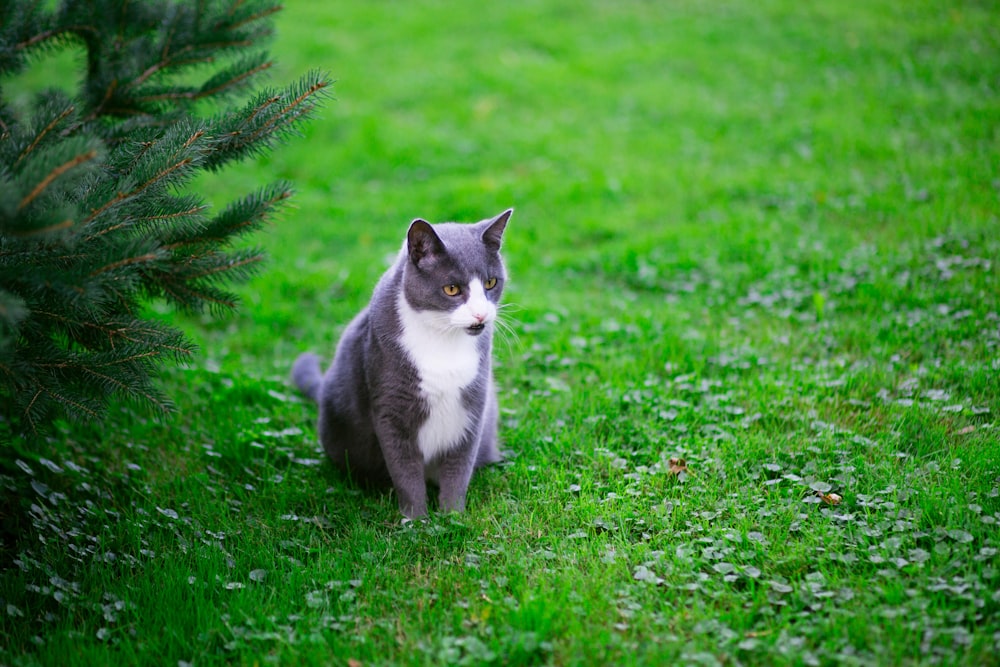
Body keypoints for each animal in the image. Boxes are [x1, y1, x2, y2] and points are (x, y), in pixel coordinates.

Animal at [288, 211, 508, 520]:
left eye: (491, 283)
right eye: (452, 289)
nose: (481, 315)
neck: (442, 340)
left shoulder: (473, 404)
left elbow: (459, 466)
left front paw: (453, 517)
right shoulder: (391, 407)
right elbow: (405, 471)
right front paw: (417, 520)